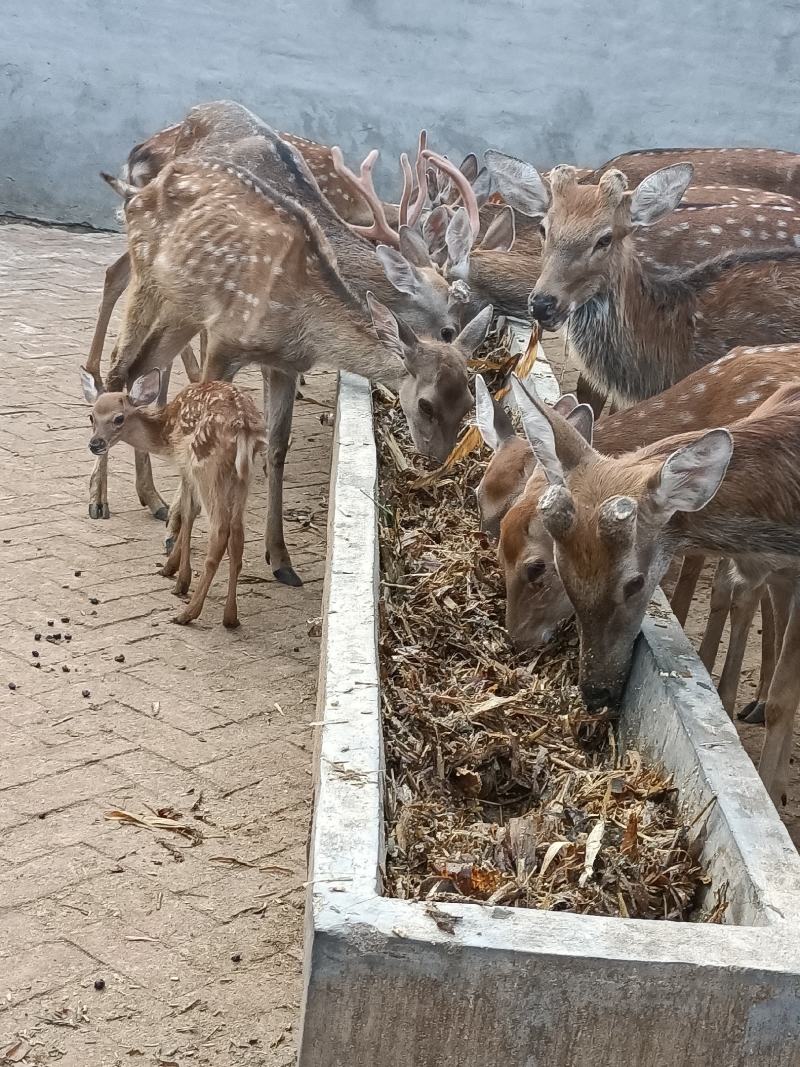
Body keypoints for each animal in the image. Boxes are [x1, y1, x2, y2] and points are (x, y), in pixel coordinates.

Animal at [80, 369, 266, 629]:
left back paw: (188, 613)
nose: (95, 444)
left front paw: (179, 578)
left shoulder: (185, 464)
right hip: (242, 477)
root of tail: (244, 429)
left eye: (118, 418)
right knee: (238, 534)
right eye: (91, 417)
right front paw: (174, 569)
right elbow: (189, 513)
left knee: (220, 531)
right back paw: (231, 617)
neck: (166, 431)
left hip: (207, 467)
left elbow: (187, 513)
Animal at [98, 156, 490, 589]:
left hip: (182, 308)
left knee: (139, 371)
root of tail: (138, 193)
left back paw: (148, 496)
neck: (303, 318)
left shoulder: (283, 364)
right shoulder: (222, 339)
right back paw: (102, 501)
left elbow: (277, 447)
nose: (437, 460)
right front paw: (174, 549)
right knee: (118, 366)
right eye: (425, 404)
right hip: (148, 278)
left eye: (469, 402)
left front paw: (281, 559)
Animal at [509, 373, 800, 808]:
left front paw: (770, 789)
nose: (595, 694)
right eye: (562, 569)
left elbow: (786, 696)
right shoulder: (775, 570)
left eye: (635, 582)